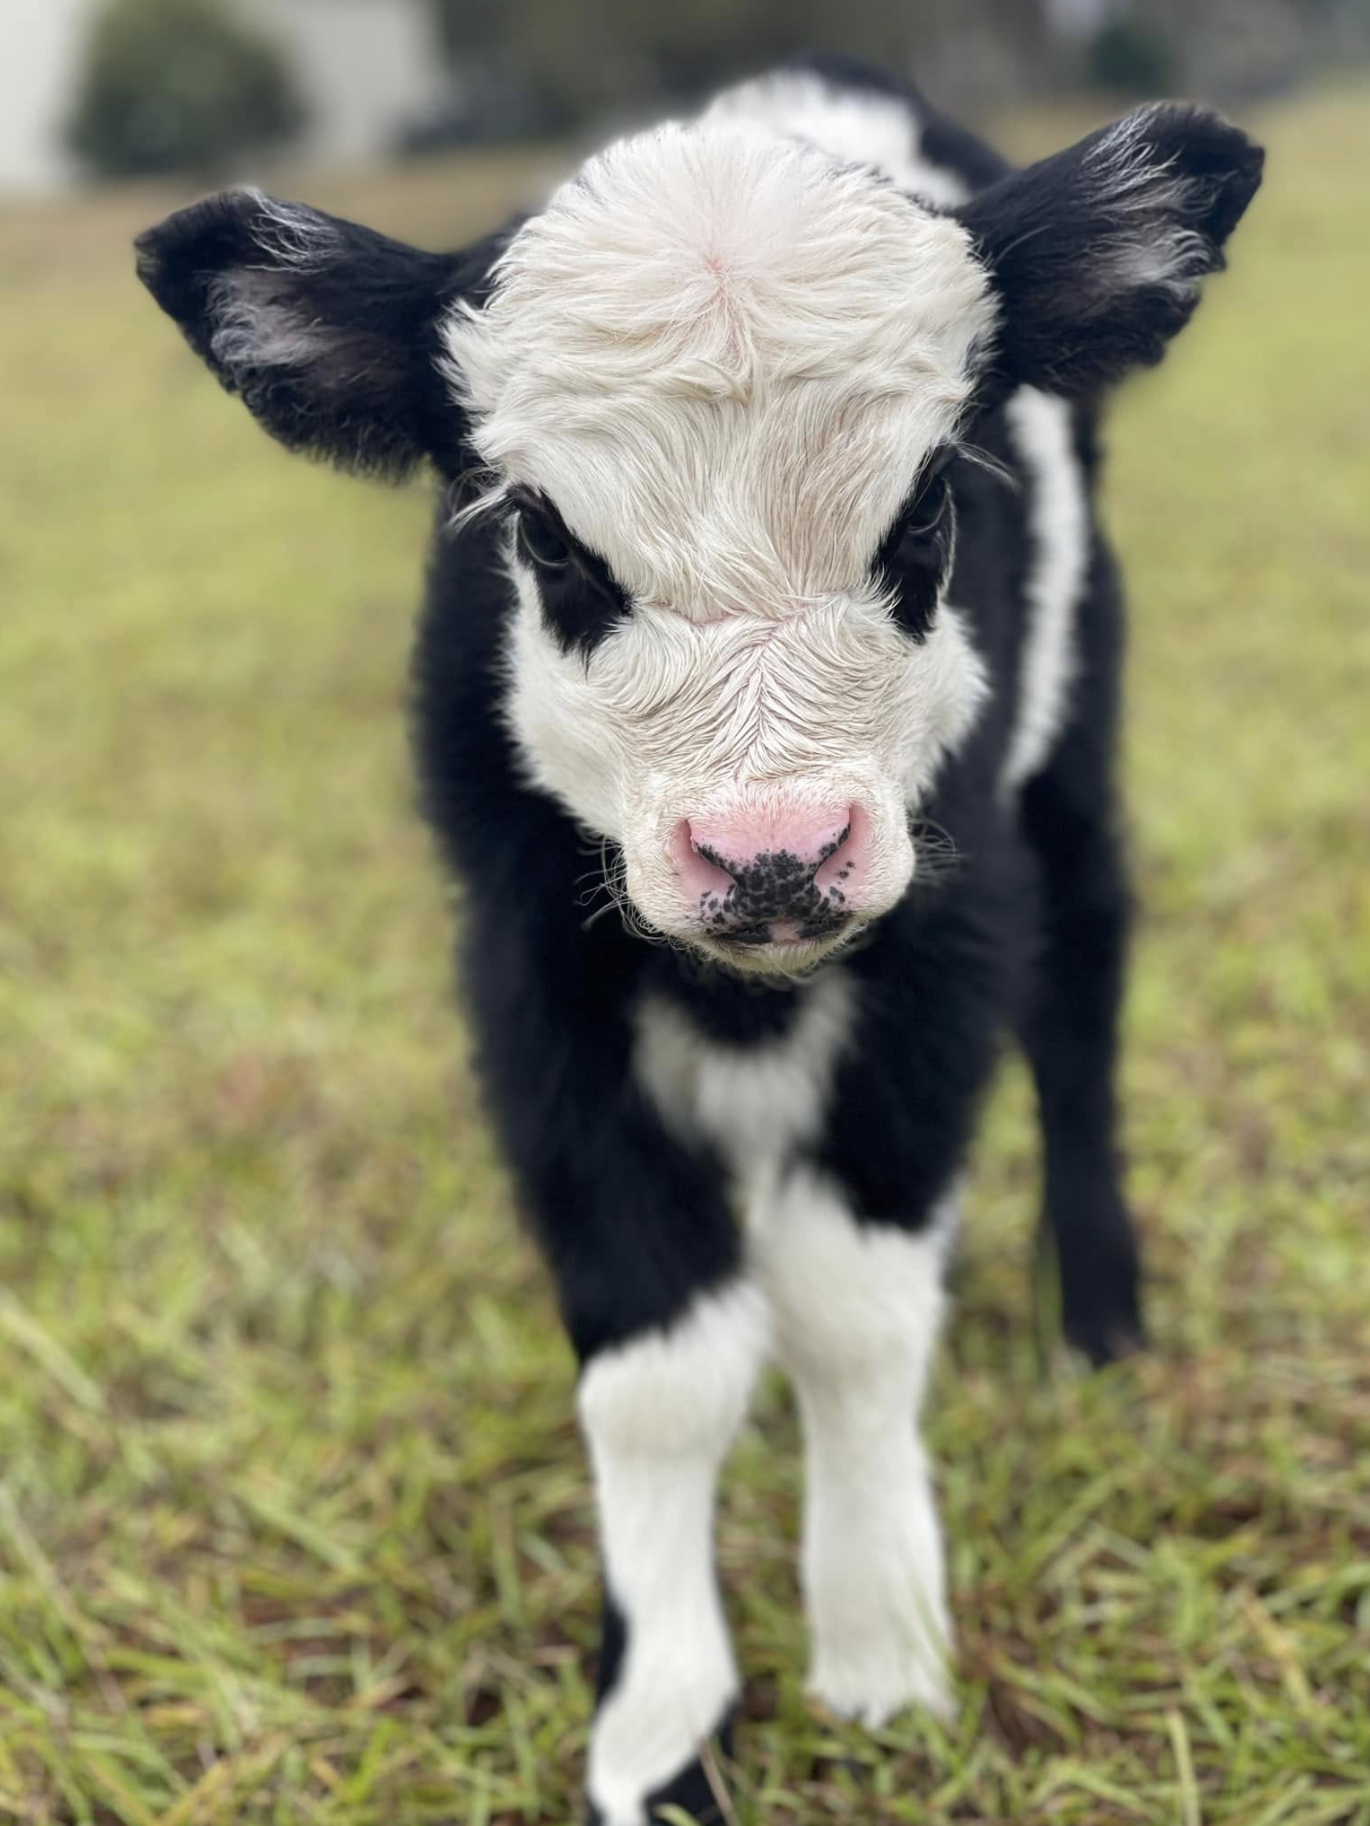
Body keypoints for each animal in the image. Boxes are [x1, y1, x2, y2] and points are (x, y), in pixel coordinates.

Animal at [136, 54, 1263, 1826]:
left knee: (1081, 1009)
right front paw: (659, 1720)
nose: (772, 853)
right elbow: (660, 1361)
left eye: (929, 508)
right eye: (542, 535)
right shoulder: (525, 964)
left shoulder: (947, 929)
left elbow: (851, 1304)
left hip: (1071, 776)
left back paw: (1094, 1314)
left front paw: (878, 1643)